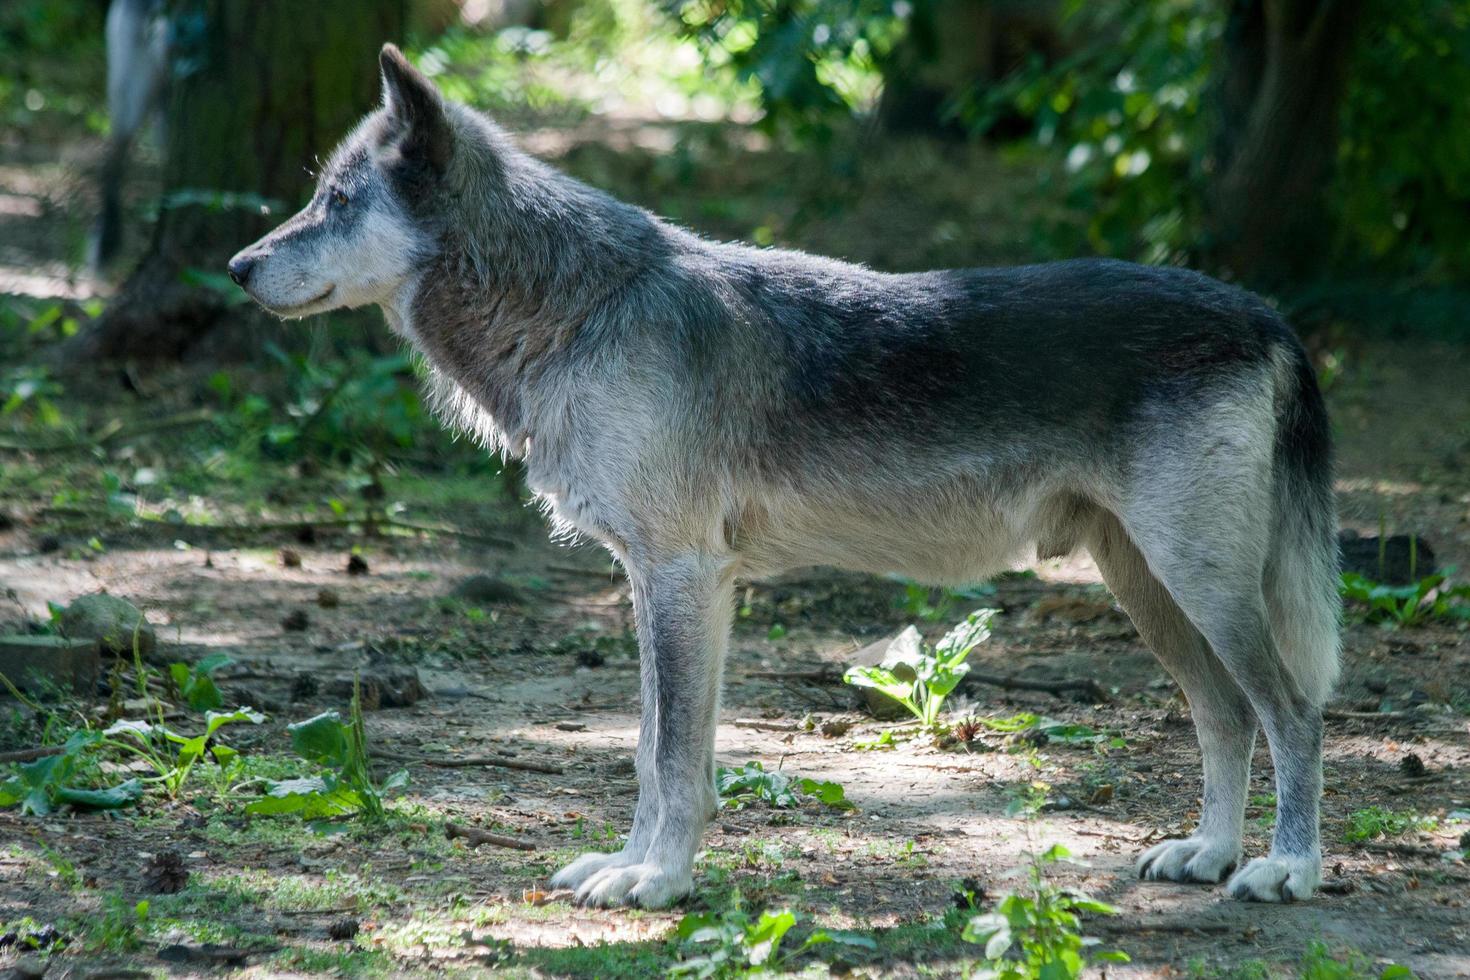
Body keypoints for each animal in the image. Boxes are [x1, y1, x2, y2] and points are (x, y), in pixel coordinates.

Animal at [223, 42, 1340, 910]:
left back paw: (1285, 868)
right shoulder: (666, 585)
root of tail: (1267, 312)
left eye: (334, 202)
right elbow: (653, 749)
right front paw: (631, 865)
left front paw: (657, 884)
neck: (583, 309)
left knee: (1293, 711)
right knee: (1228, 715)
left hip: (1198, 583)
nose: (236, 266)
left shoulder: (680, 575)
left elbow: (674, 756)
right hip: (1148, 586)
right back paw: (1209, 854)